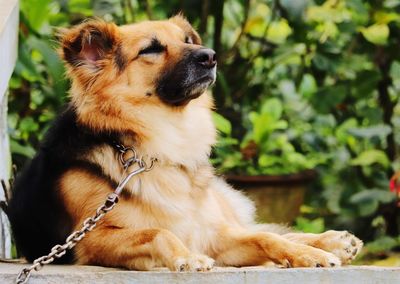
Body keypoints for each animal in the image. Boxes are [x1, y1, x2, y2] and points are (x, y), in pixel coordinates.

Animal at [7, 15, 362, 270]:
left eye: (187, 41)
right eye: (151, 49)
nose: (210, 56)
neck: (158, 145)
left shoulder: (212, 233)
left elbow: (266, 238)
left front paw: (307, 254)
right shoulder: (91, 240)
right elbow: (159, 232)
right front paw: (187, 257)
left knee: (264, 228)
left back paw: (332, 241)